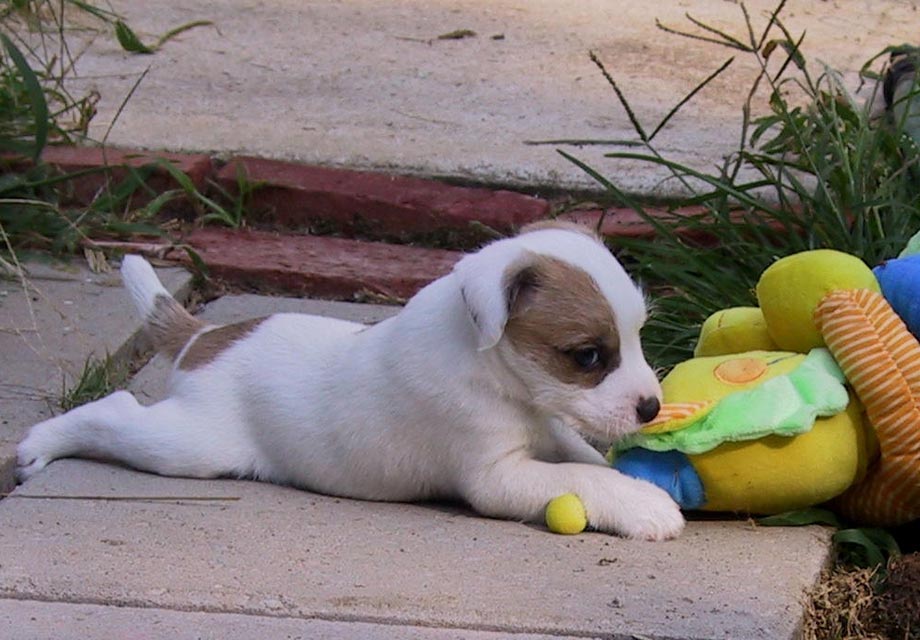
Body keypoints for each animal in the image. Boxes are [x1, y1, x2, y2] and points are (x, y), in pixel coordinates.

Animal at [18, 224, 688, 540]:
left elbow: (584, 458)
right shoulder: (496, 477)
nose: (653, 407)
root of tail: (203, 337)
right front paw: (643, 502)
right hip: (189, 445)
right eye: (588, 356)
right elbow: (580, 476)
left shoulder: (547, 432)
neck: (494, 371)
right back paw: (38, 446)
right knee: (115, 408)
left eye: (638, 334)